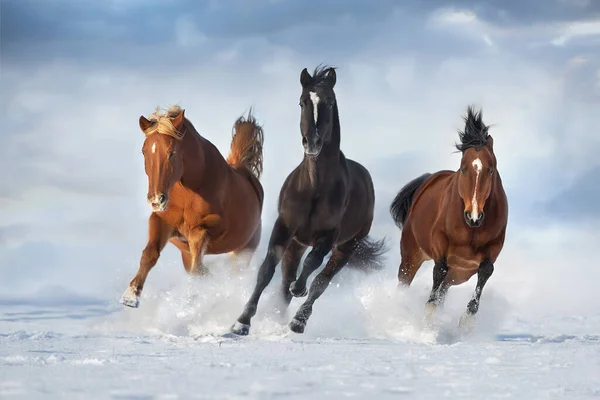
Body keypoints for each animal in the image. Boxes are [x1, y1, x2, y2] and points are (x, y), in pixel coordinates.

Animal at [120, 104, 264, 308]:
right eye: (144, 151)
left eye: (171, 152)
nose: (156, 199)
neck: (187, 193)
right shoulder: (161, 221)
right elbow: (150, 254)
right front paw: (131, 296)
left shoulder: (205, 229)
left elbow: (198, 266)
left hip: (243, 251)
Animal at [230, 65, 390, 334]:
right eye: (303, 101)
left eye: (330, 101)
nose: (312, 142)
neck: (314, 188)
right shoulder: (284, 226)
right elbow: (267, 270)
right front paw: (242, 321)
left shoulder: (329, 236)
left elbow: (313, 266)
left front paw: (299, 289)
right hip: (297, 243)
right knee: (286, 280)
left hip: (347, 246)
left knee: (321, 281)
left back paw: (298, 319)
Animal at [392, 106, 508, 332]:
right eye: (463, 169)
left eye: (490, 171)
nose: (473, 216)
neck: (471, 230)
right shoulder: (440, 241)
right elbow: (439, 269)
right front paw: (428, 316)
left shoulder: (493, 247)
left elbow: (486, 270)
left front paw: (467, 320)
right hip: (411, 255)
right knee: (405, 280)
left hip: (460, 273)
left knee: (445, 286)